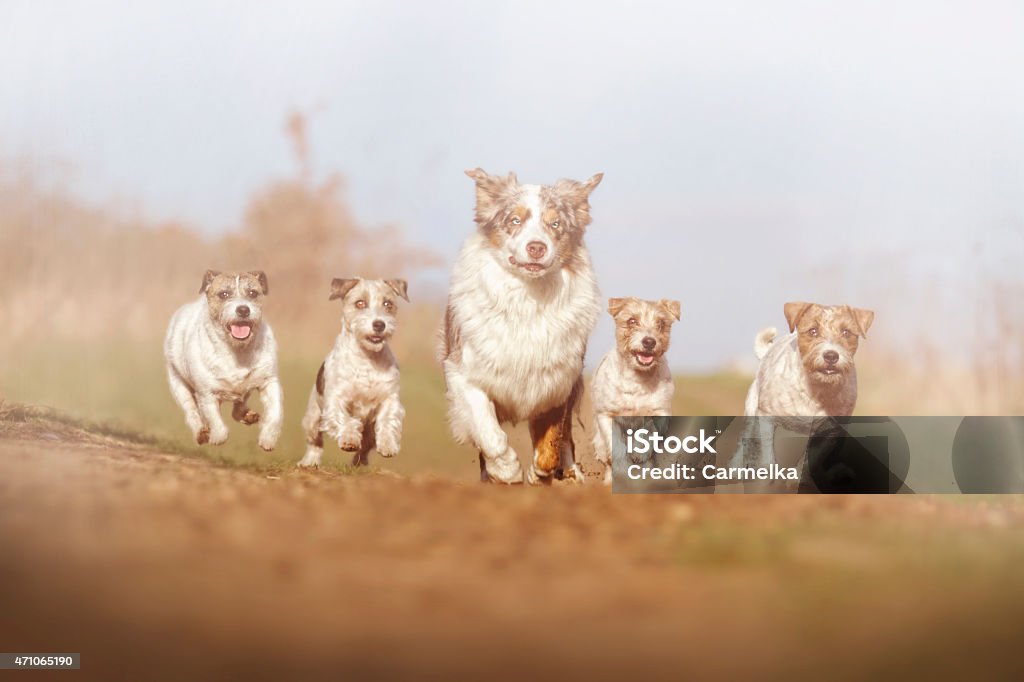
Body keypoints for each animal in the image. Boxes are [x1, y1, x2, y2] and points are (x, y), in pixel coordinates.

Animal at [164, 268, 284, 448]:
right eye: (224, 294)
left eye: (253, 293)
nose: (243, 309)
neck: (237, 350)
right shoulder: (206, 393)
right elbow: (215, 422)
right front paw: (216, 437)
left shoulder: (269, 382)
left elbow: (275, 413)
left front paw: (268, 438)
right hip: (178, 384)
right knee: (191, 410)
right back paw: (201, 432)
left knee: (238, 408)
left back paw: (247, 415)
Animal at [299, 276, 405, 466]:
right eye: (360, 303)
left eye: (388, 303)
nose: (379, 324)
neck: (368, 359)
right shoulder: (336, 399)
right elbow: (344, 419)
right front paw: (349, 439)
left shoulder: (389, 397)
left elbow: (388, 419)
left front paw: (388, 444)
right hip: (312, 418)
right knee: (315, 442)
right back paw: (309, 462)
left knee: (366, 446)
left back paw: (359, 462)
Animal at [440, 166, 598, 481]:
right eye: (515, 220)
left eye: (555, 224)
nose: (536, 247)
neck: (527, 299)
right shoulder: (466, 374)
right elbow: (489, 434)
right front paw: (506, 471)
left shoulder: (557, 382)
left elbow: (551, 444)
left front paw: (539, 474)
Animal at [593, 296, 679, 483]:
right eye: (631, 321)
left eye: (661, 323)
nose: (649, 341)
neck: (638, 379)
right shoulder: (606, 414)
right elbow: (616, 445)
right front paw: (623, 470)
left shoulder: (661, 412)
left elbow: (650, 433)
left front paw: (640, 452)